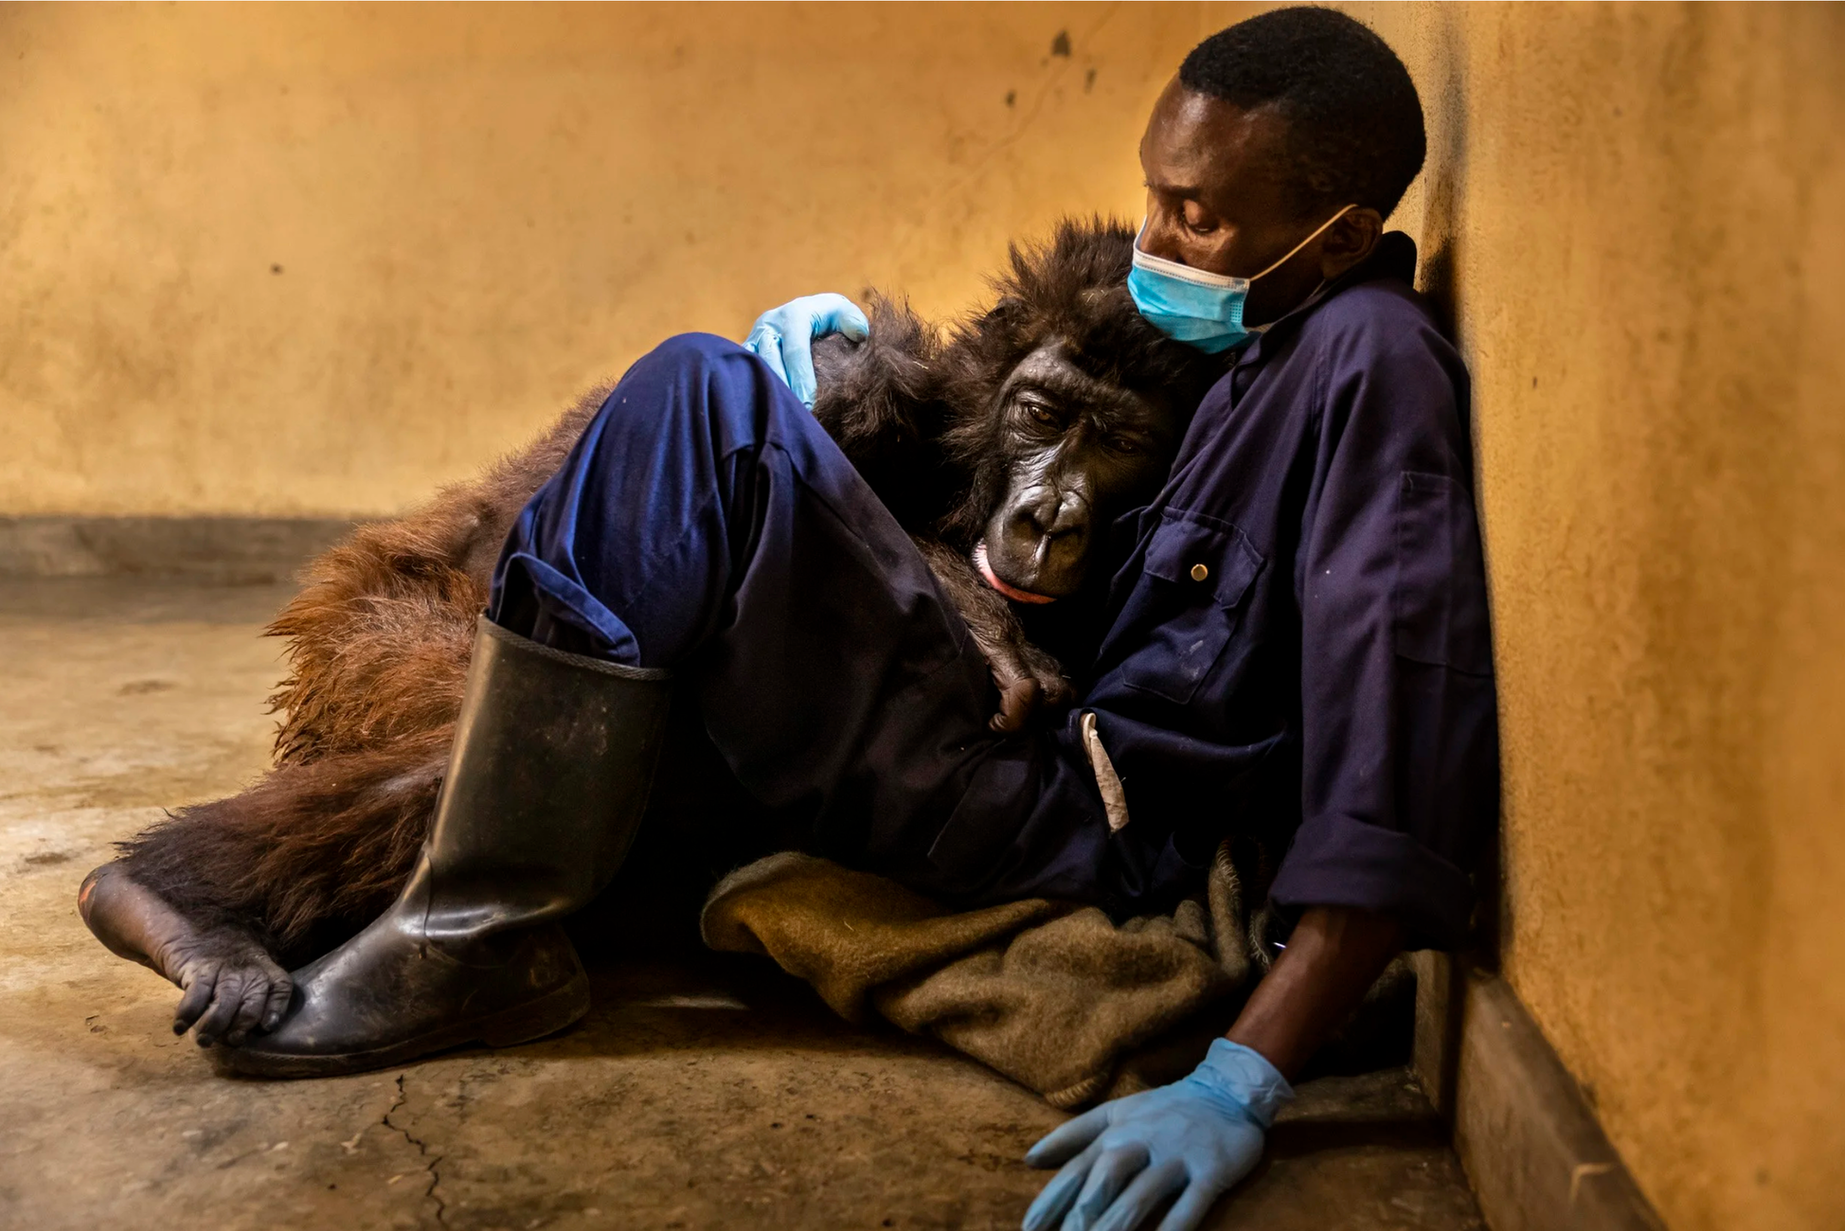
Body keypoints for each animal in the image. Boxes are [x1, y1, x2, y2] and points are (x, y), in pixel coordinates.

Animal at [77, 218, 1229, 1046]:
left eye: (1117, 440)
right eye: (1040, 415)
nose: (1049, 516)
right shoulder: (869, 385)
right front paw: (974, 608)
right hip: (365, 646)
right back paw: (167, 905)